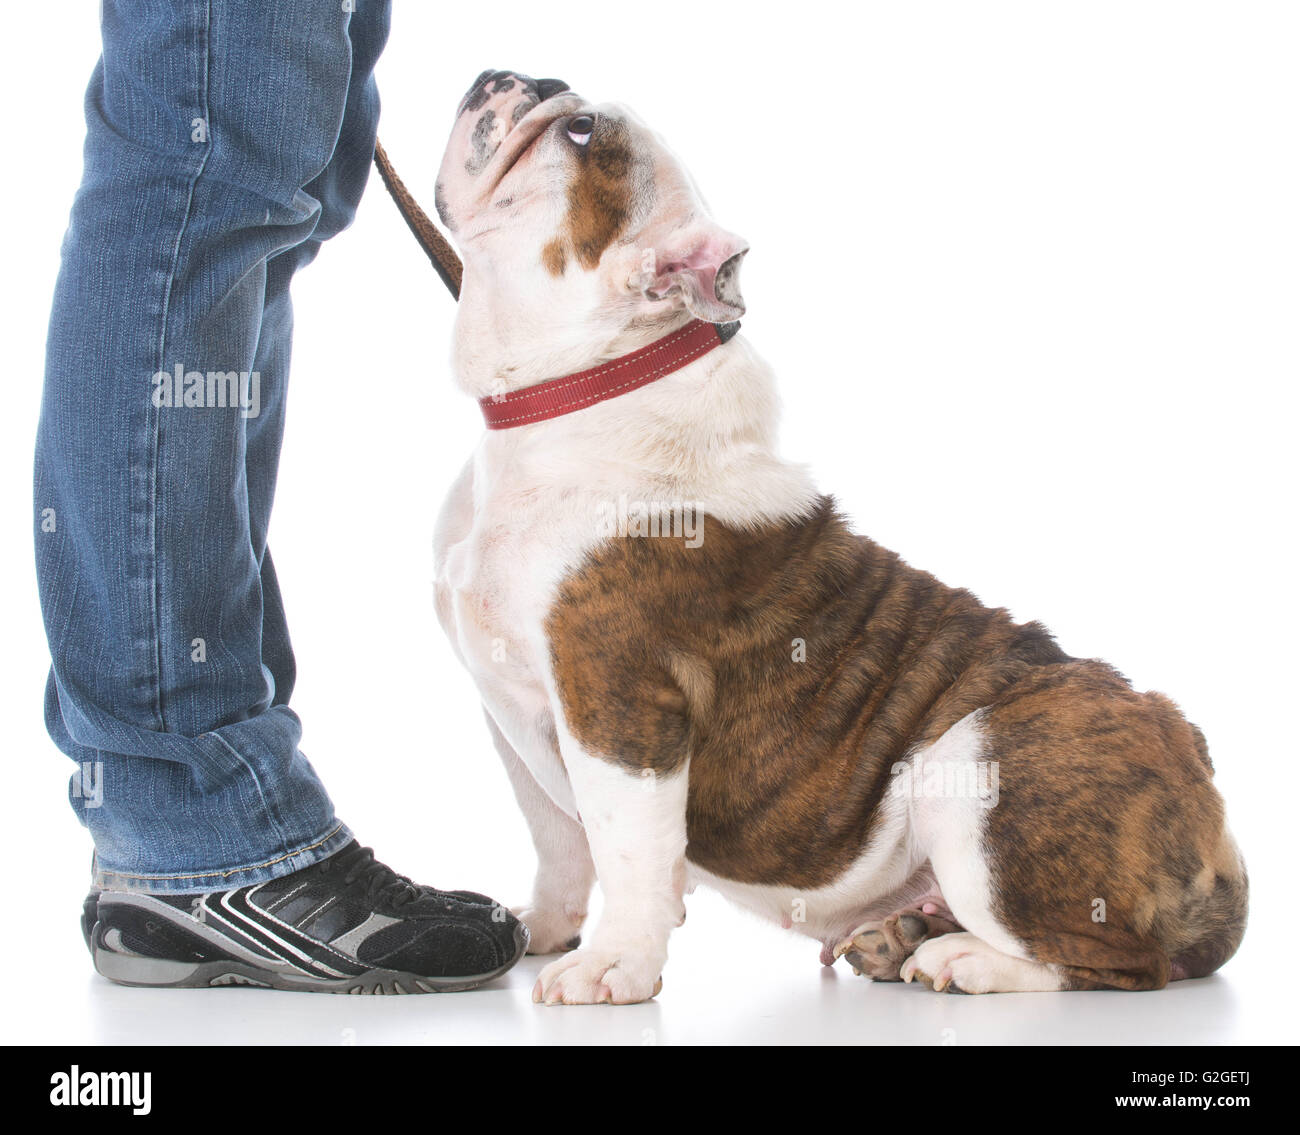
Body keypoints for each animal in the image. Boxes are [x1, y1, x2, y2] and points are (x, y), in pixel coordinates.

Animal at [428, 70, 1248, 1003]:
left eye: (579, 131)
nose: (523, 76)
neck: (590, 380)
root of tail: (1200, 773)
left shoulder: (615, 701)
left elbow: (625, 844)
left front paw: (615, 965)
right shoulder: (515, 716)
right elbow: (559, 838)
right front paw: (544, 928)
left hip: (974, 759)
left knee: (1115, 960)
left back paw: (962, 958)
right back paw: (904, 932)